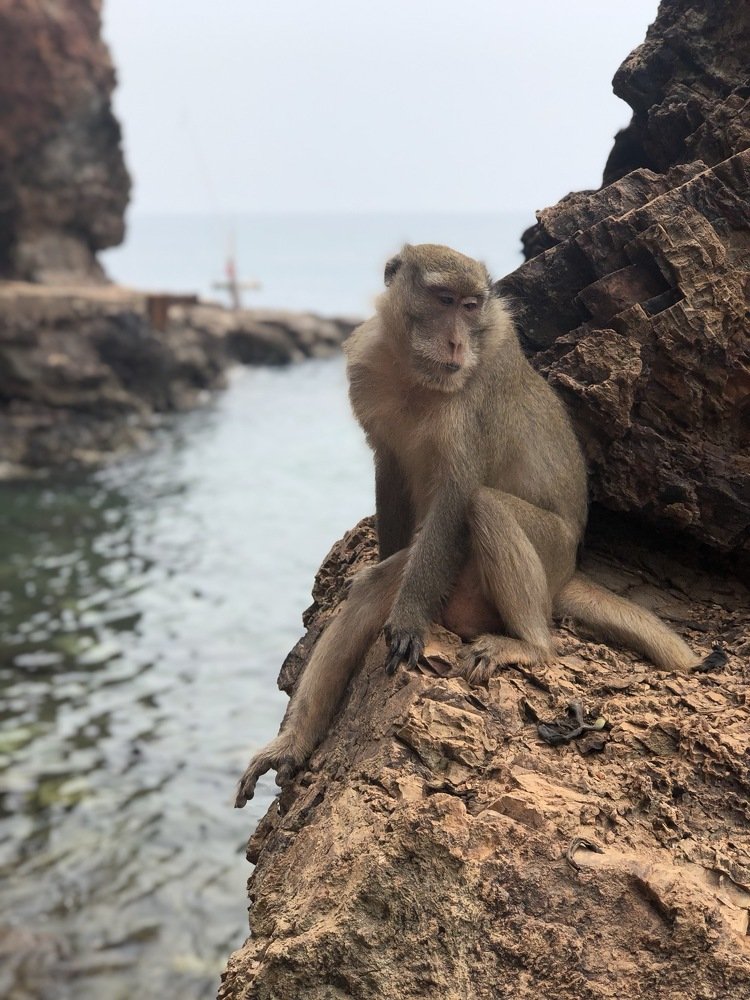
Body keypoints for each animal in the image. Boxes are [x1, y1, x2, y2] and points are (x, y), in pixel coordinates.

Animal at [234, 243, 723, 808]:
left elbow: (458, 494)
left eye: (470, 306)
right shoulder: (367, 365)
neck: (415, 374)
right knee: (377, 588)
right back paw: (292, 744)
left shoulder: (476, 393)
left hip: (547, 553)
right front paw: (381, 560)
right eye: (444, 300)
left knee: (486, 506)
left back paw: (530, 646)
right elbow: (390, 468)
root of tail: (566, 574)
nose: (455, 341)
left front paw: (407, 620)